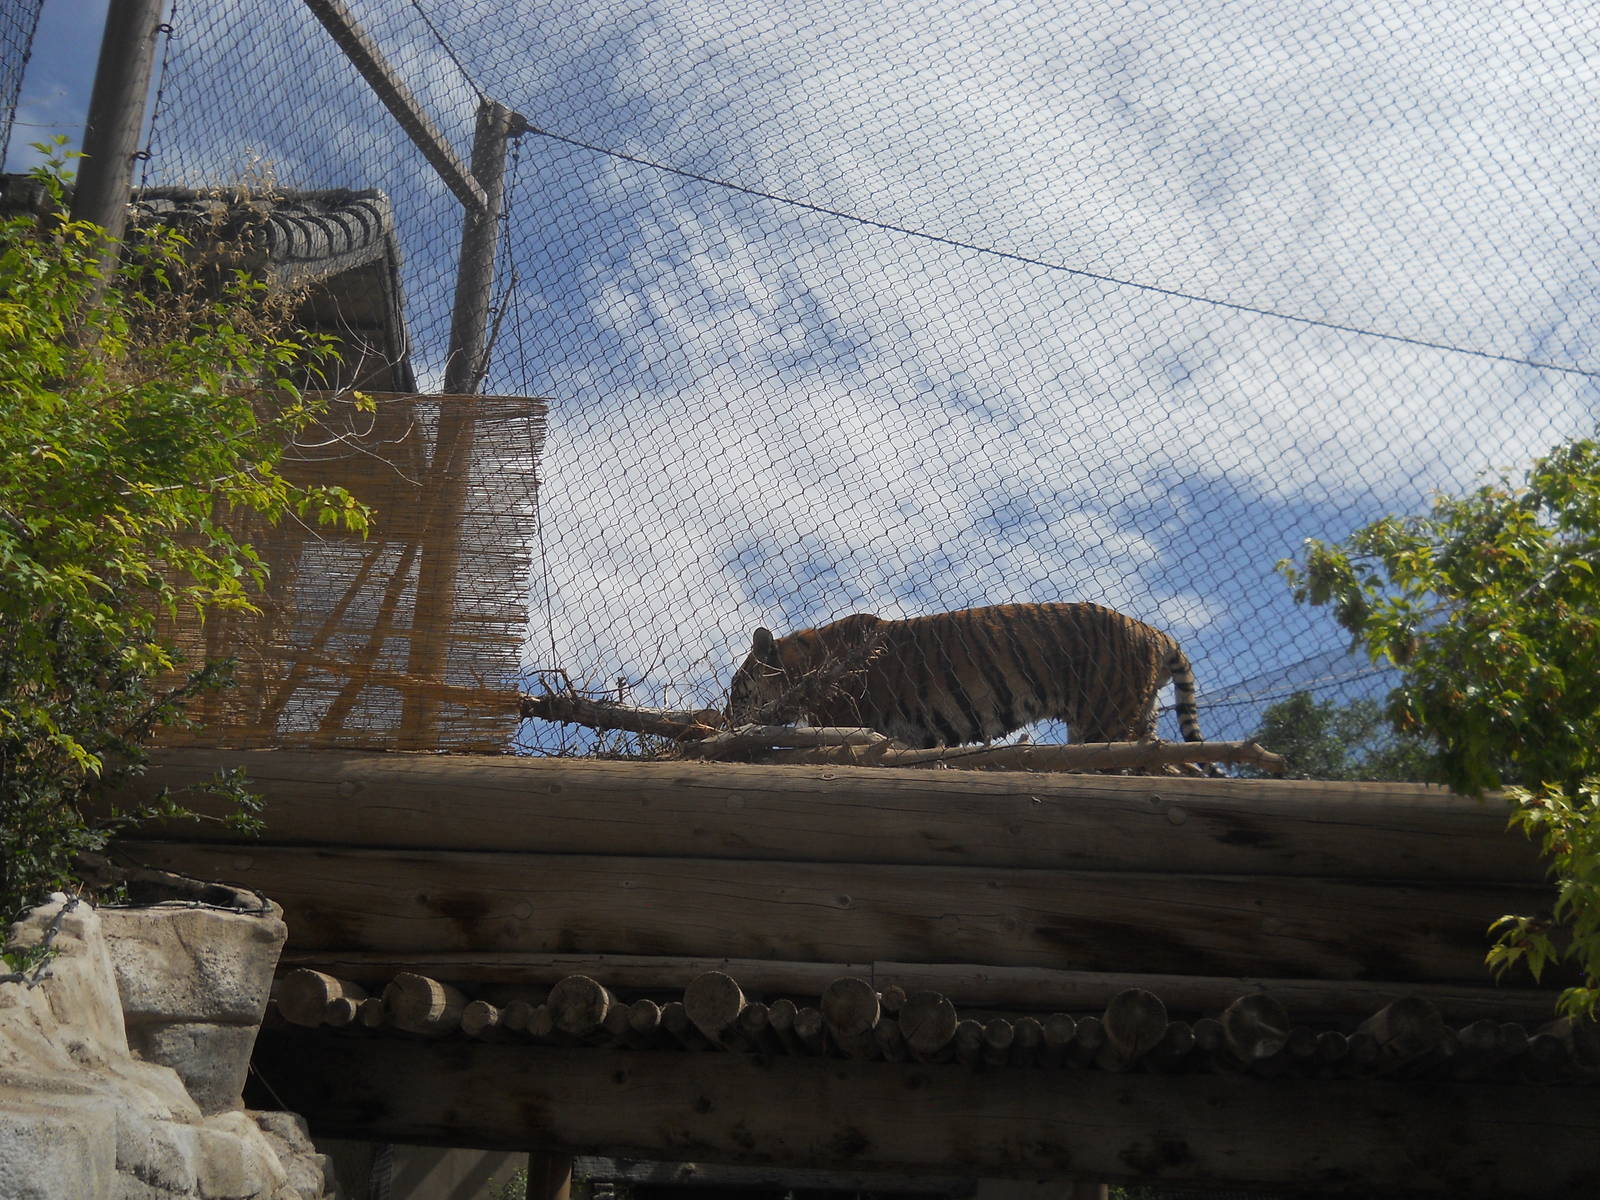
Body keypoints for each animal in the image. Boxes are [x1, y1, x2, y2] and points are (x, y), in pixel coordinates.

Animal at [726, 602, 1204, 749]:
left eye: (737, 692)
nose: (726, 718)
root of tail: (1155, 633)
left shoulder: (844, 721)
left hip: (1106, 720)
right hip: (1132, 717)